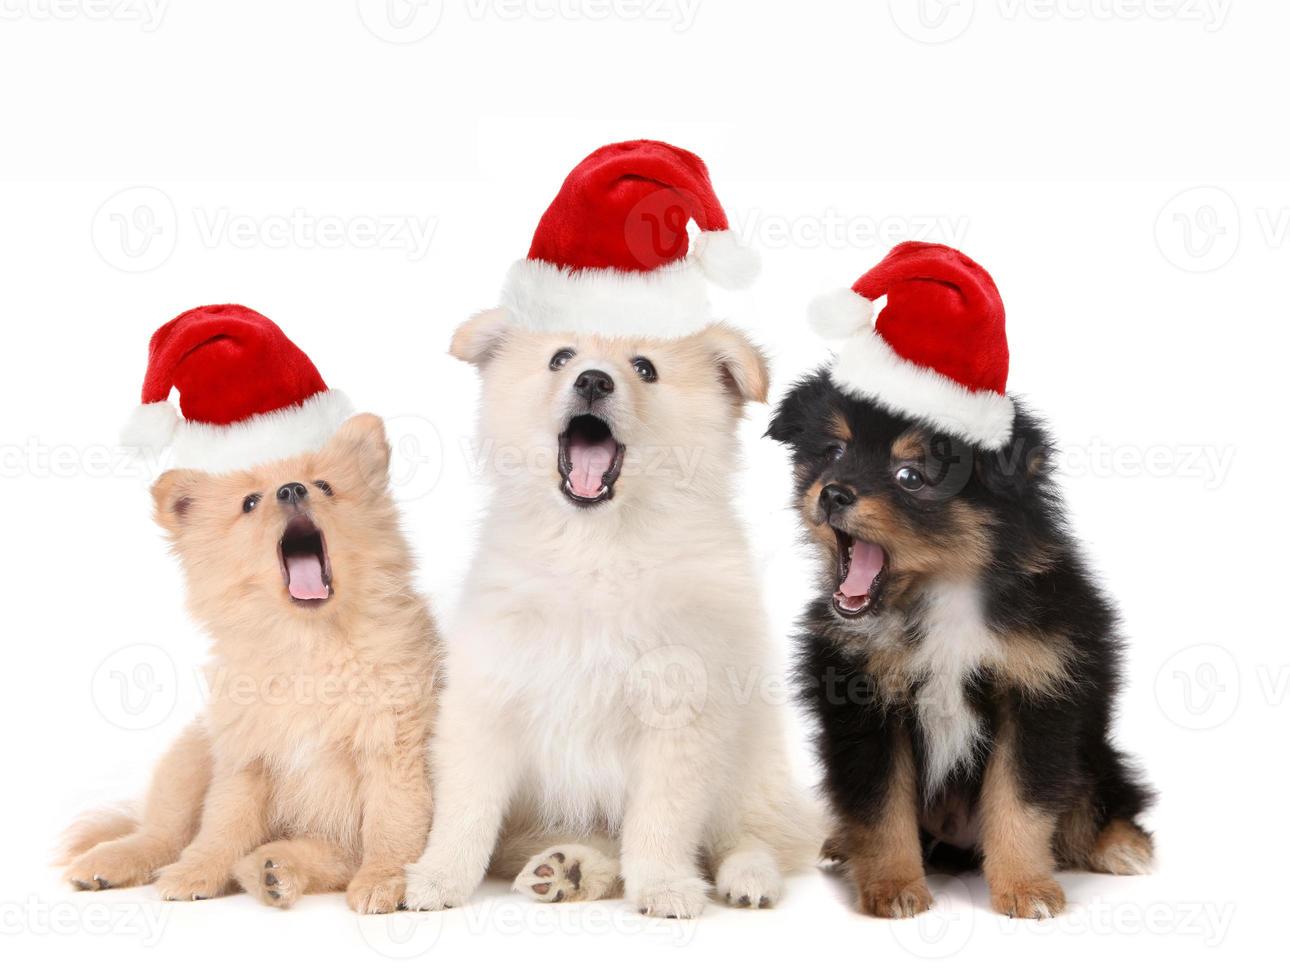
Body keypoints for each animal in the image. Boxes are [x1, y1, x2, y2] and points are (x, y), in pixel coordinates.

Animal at [407, 313, 820, 918]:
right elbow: (466, 808)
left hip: (751, 763)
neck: (596, 548)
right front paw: (439, 877)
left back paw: (748, 877)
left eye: (645, 369)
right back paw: (569, 870)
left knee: (755, 837)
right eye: (560, 359)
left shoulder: (680, 710)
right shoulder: (489, 696)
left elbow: (661, 820)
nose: (593, 380)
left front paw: (665, 886)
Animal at [768, 243, 1155, 918]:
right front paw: (893, 887)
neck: (944, 594)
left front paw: (1026, 889)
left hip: (1093, 748)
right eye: (832, 452)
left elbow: (1021, 805)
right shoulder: (863, 705)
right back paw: (843, 844)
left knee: (1102, 794)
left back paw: (1119, 845)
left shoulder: (1039, 692)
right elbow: (880, 809)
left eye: (912, 476)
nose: (833, 493)